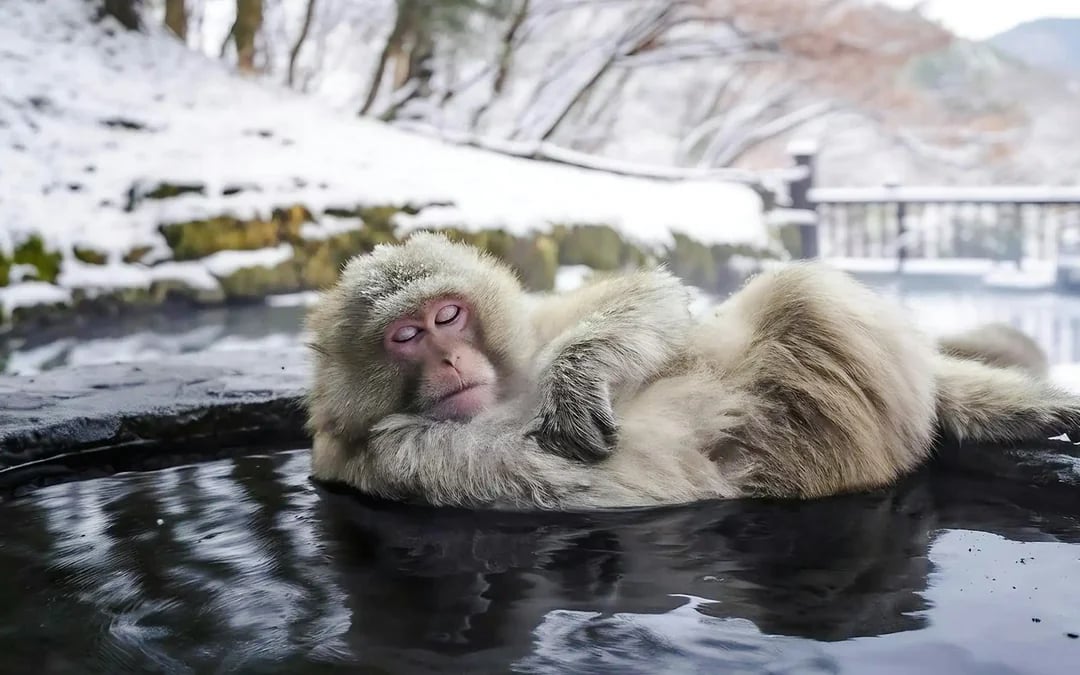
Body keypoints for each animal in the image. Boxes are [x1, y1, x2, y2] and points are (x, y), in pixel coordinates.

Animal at [304, 232, 1080, 511]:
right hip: (857, 428)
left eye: (448, 316)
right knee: (803, 296)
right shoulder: (395, 458)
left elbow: (651, 299)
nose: (449, 359)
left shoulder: (535, 326)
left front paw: (578, 377)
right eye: (406, 335)